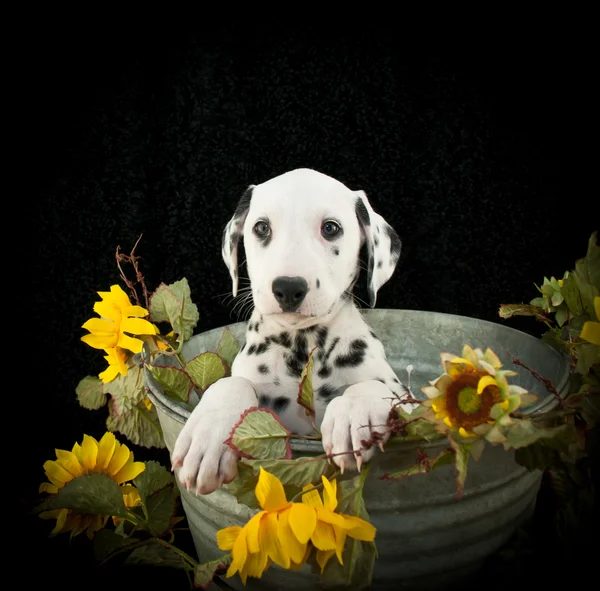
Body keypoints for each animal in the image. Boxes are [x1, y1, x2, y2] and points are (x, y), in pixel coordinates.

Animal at [171, 170, 410, 494]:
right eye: (261, 227)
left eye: (330, 228)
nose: (288, 287)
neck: (303, 347)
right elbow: (232, 383)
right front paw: (207, 436)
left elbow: (377, 387)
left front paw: (354, 414)